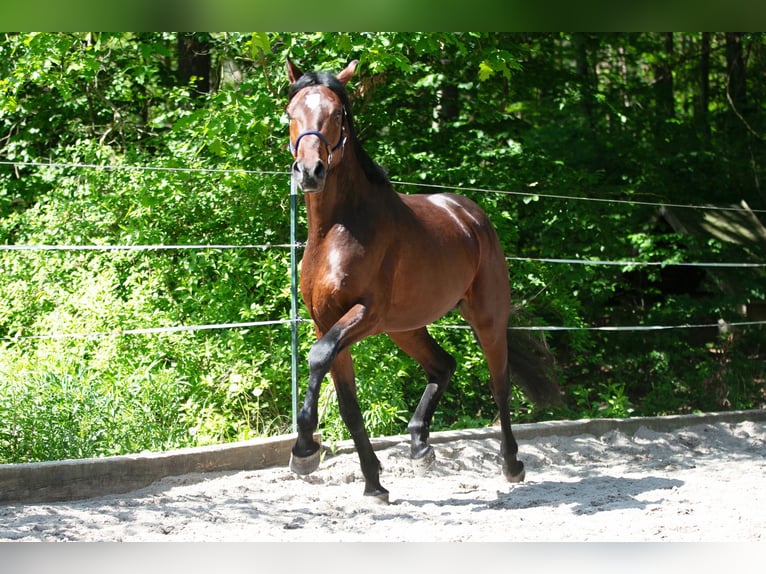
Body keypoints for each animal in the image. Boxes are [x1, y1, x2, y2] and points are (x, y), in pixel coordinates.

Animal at [284, 59, 560, 504]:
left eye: (337, 113)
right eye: (291, 113)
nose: (310, 171)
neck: (337, 231)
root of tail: (468, 214)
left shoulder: (365, 314)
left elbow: (317, 358)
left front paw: (304, 449)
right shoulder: (328, 322)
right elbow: (347, 404)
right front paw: (373, 483)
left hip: (484, 318)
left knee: (499, 382)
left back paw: (511, 464)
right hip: (406, 328)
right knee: (443, 365)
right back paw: (419, 445)